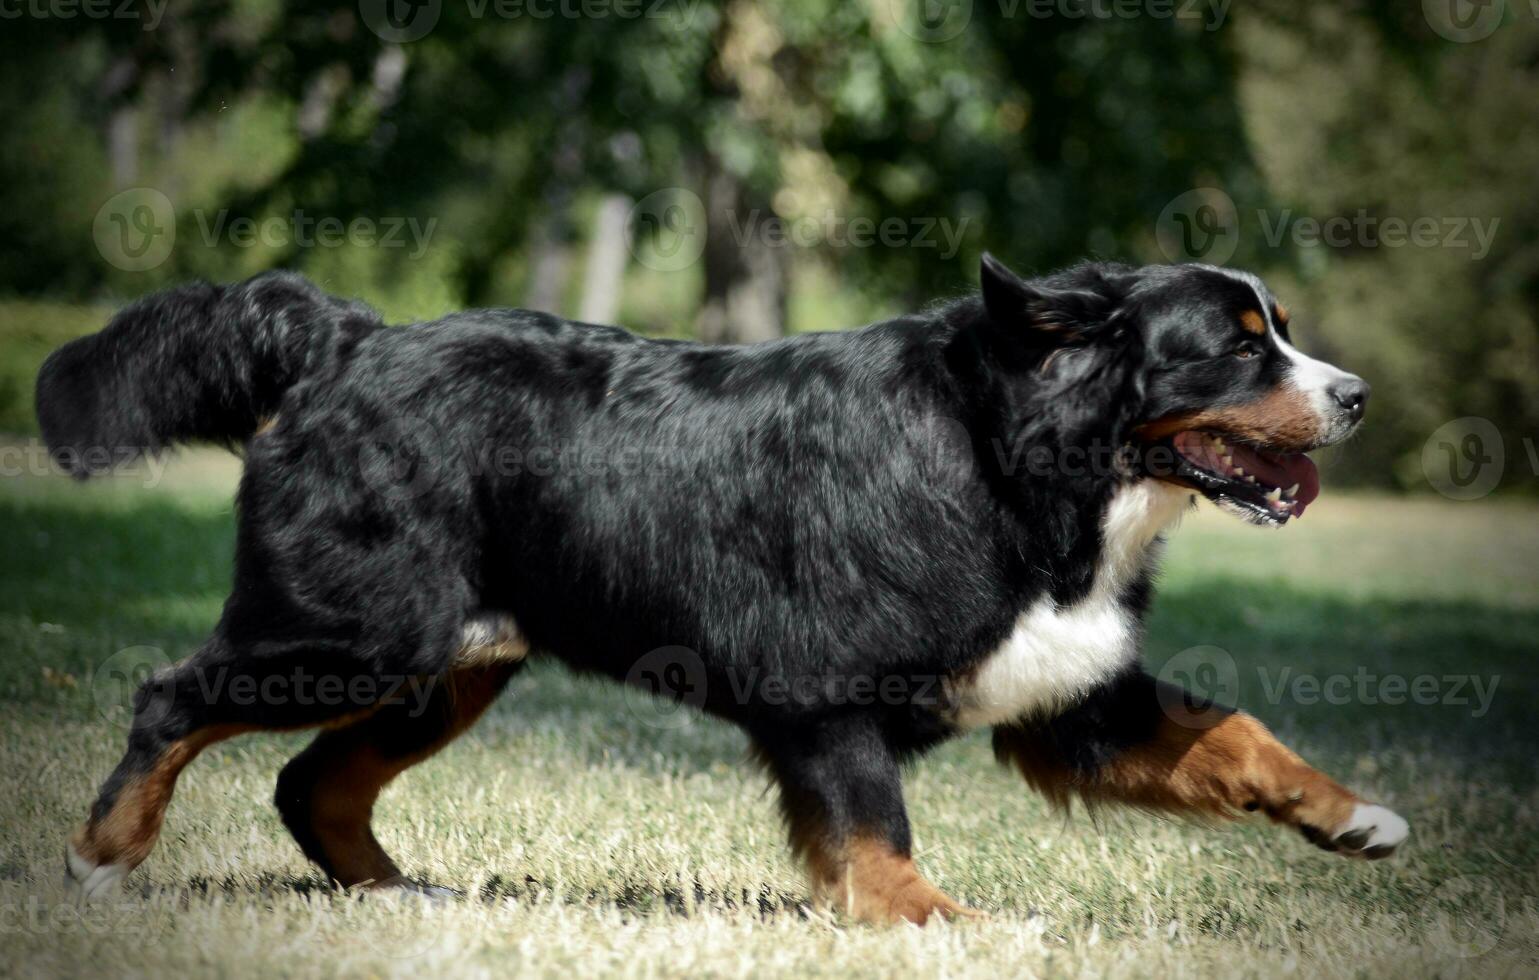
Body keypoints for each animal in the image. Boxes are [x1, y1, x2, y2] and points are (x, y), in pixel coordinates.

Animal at [36, 255, 1409, 923]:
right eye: (1237, 344)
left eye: (1280, 329)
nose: (1355, 394)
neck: (1021, 453)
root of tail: (351, 338)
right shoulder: (825, 692)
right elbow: (875, 835)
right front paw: (941, 920)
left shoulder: (1063, 691)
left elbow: (1235, 733)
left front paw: (1351, 813)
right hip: (355, 630)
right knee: (172, 702)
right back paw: (103, 859)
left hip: (448, 664)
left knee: (311, 779)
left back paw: (397, 895)